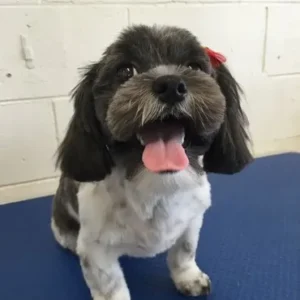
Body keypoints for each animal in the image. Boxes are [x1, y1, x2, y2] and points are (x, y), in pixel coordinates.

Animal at [51, 24, 253, 300]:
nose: (171, 84)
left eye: (194, 67)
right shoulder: (96, 250)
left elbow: (184, 252)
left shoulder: (193, 220)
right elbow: (111, 287)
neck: (156, 185)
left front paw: (188, 278)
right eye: (126, 71)